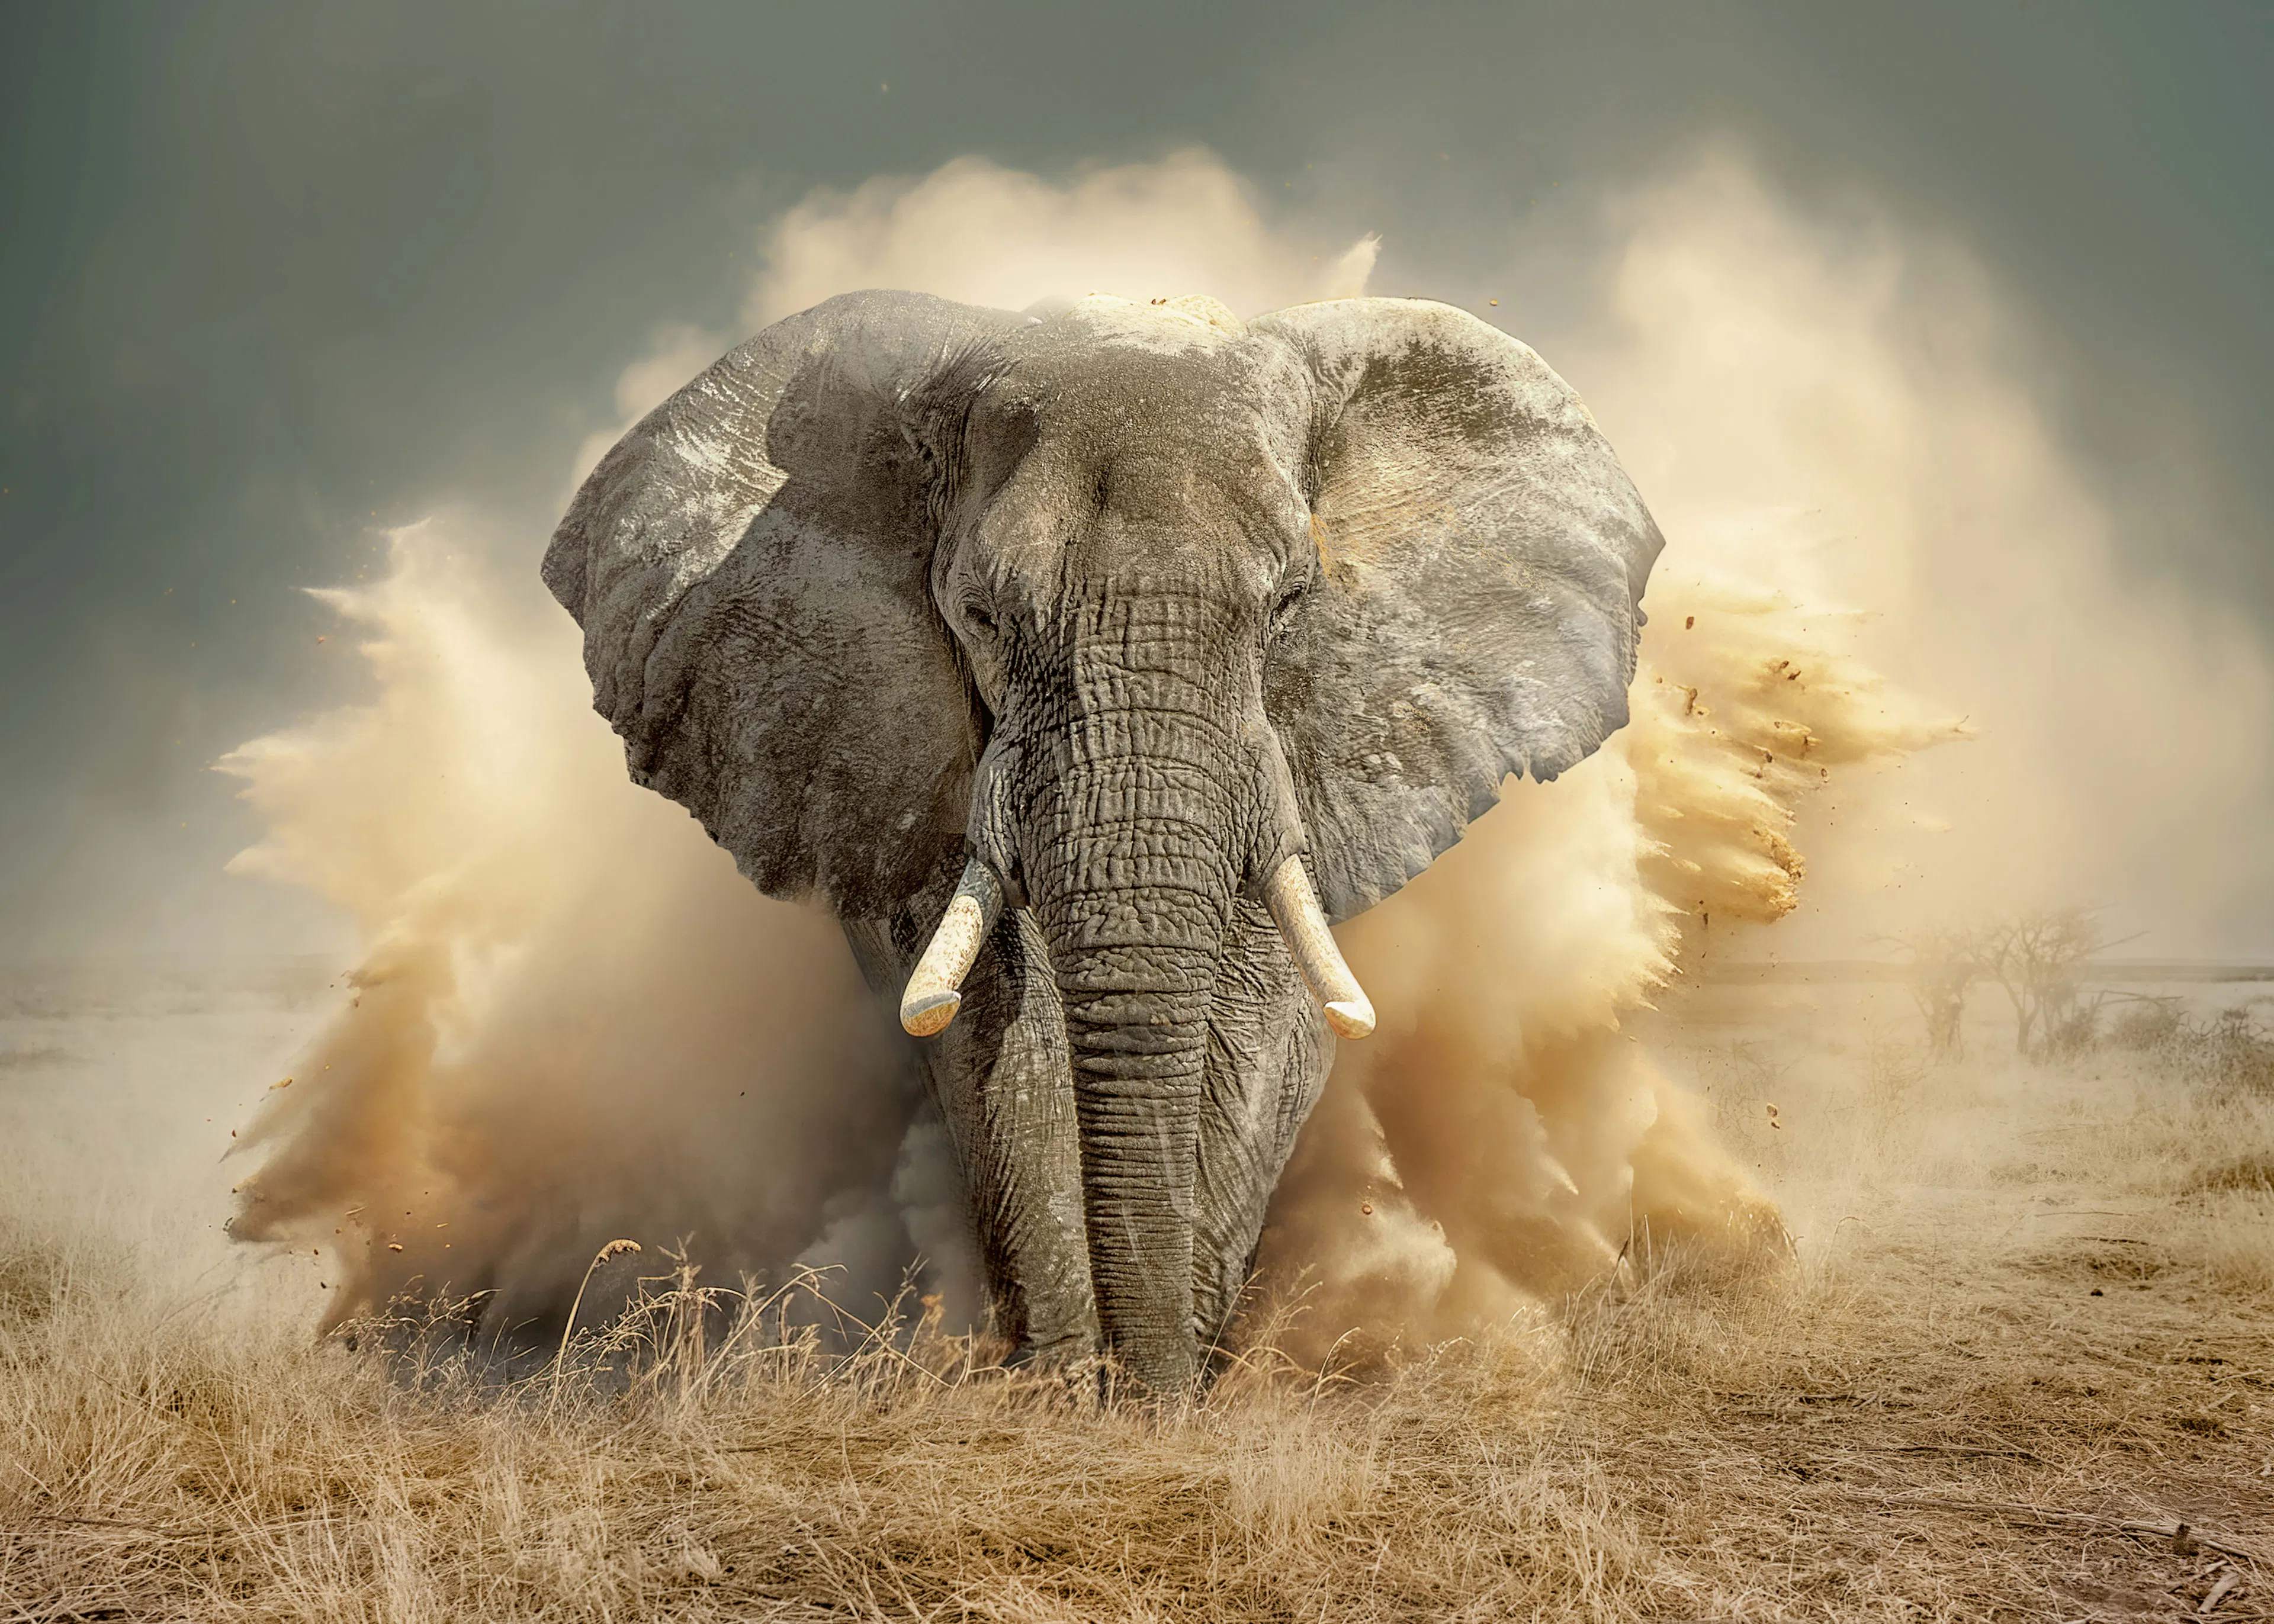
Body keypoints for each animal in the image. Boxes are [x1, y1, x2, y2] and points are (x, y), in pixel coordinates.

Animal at [541, 289, 1663, 1392]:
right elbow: (993, 1023)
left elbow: (1262, 1020)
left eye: (1291, 602)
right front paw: (1064, 1388)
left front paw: (1163, 1390)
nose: (1138, 1381)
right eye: (981, 615)